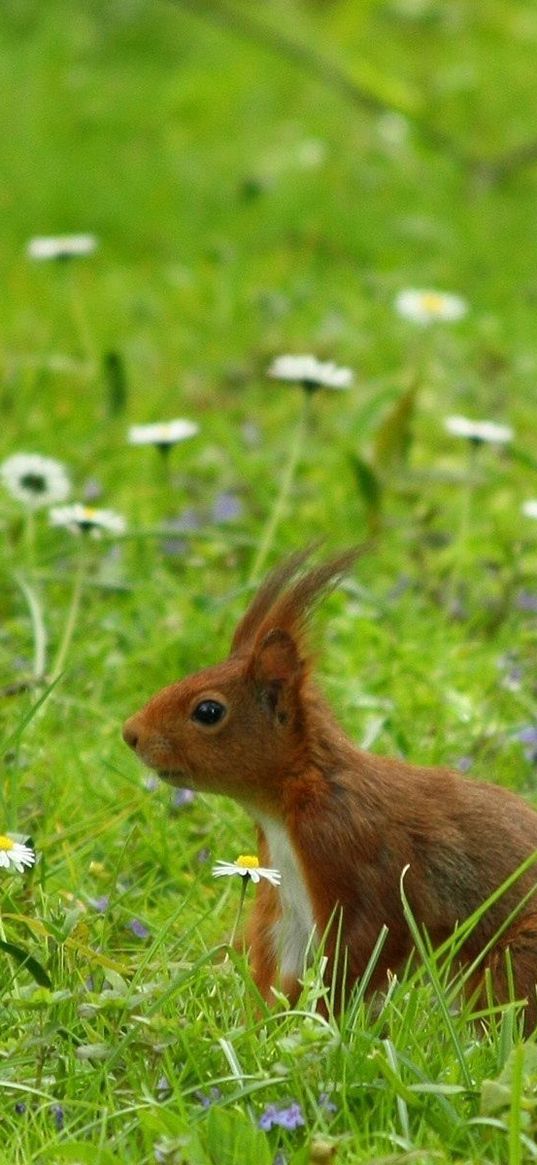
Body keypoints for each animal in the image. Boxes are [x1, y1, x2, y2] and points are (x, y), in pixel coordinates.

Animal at [122, 552, 537, 1029]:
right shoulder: (285, 895)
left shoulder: (358, 853)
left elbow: (362, 951)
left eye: (208, 711)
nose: (131, 734)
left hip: (518, 955)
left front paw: (313, 1023)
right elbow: (282, 960)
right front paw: (262, 1026)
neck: (297, 798)